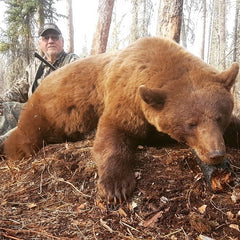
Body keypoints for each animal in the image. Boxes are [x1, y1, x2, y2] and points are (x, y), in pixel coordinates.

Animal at [2, 37, 239, 202]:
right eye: (191, 124)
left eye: (219, 118)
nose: (216, 153)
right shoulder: (125, 95)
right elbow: (112, 134)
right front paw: (116, 187)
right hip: (42, 114)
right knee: (24, 138)